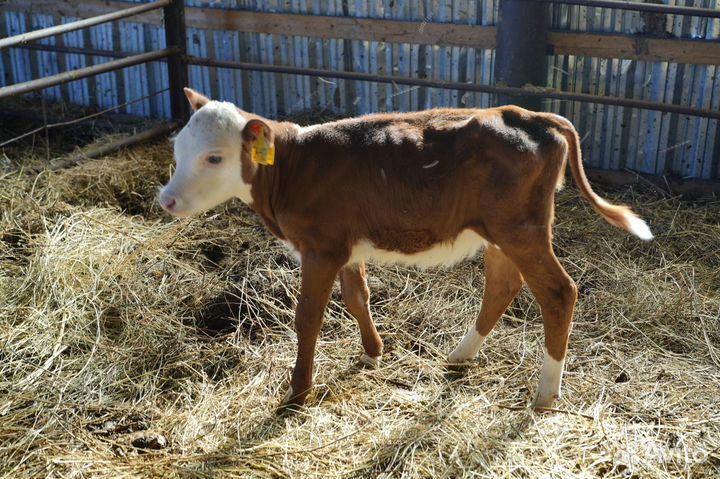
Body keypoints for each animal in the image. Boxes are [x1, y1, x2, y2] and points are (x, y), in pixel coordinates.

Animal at [159, 88, 653, 409]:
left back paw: (547, 392)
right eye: (179, 147)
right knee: (503, 284)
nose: (166, 200)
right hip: (502, 231)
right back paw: (461, 355)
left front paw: (298, 392)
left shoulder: (319, 248)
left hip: (522, 228)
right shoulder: (344, 247)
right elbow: (357, 298)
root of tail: (529, 115)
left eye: (214, 157)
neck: (293, 167)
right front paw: (372, 352)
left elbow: (308, 318)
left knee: (558, 292)